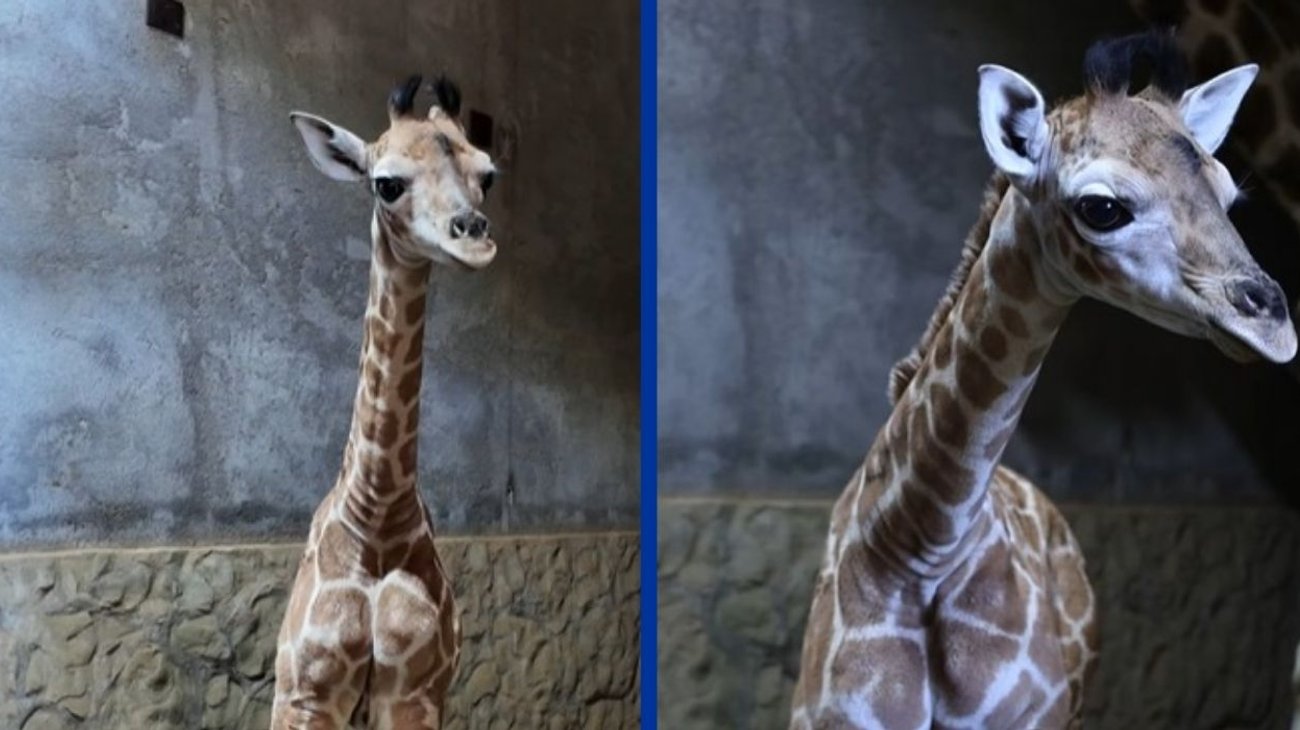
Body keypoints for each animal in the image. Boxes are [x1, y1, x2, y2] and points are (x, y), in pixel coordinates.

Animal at [270, 74, 498, 729]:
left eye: (488, 174)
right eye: (387, 183)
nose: (476, 238)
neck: (375, 518)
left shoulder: (415, 689)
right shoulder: (306, 692)